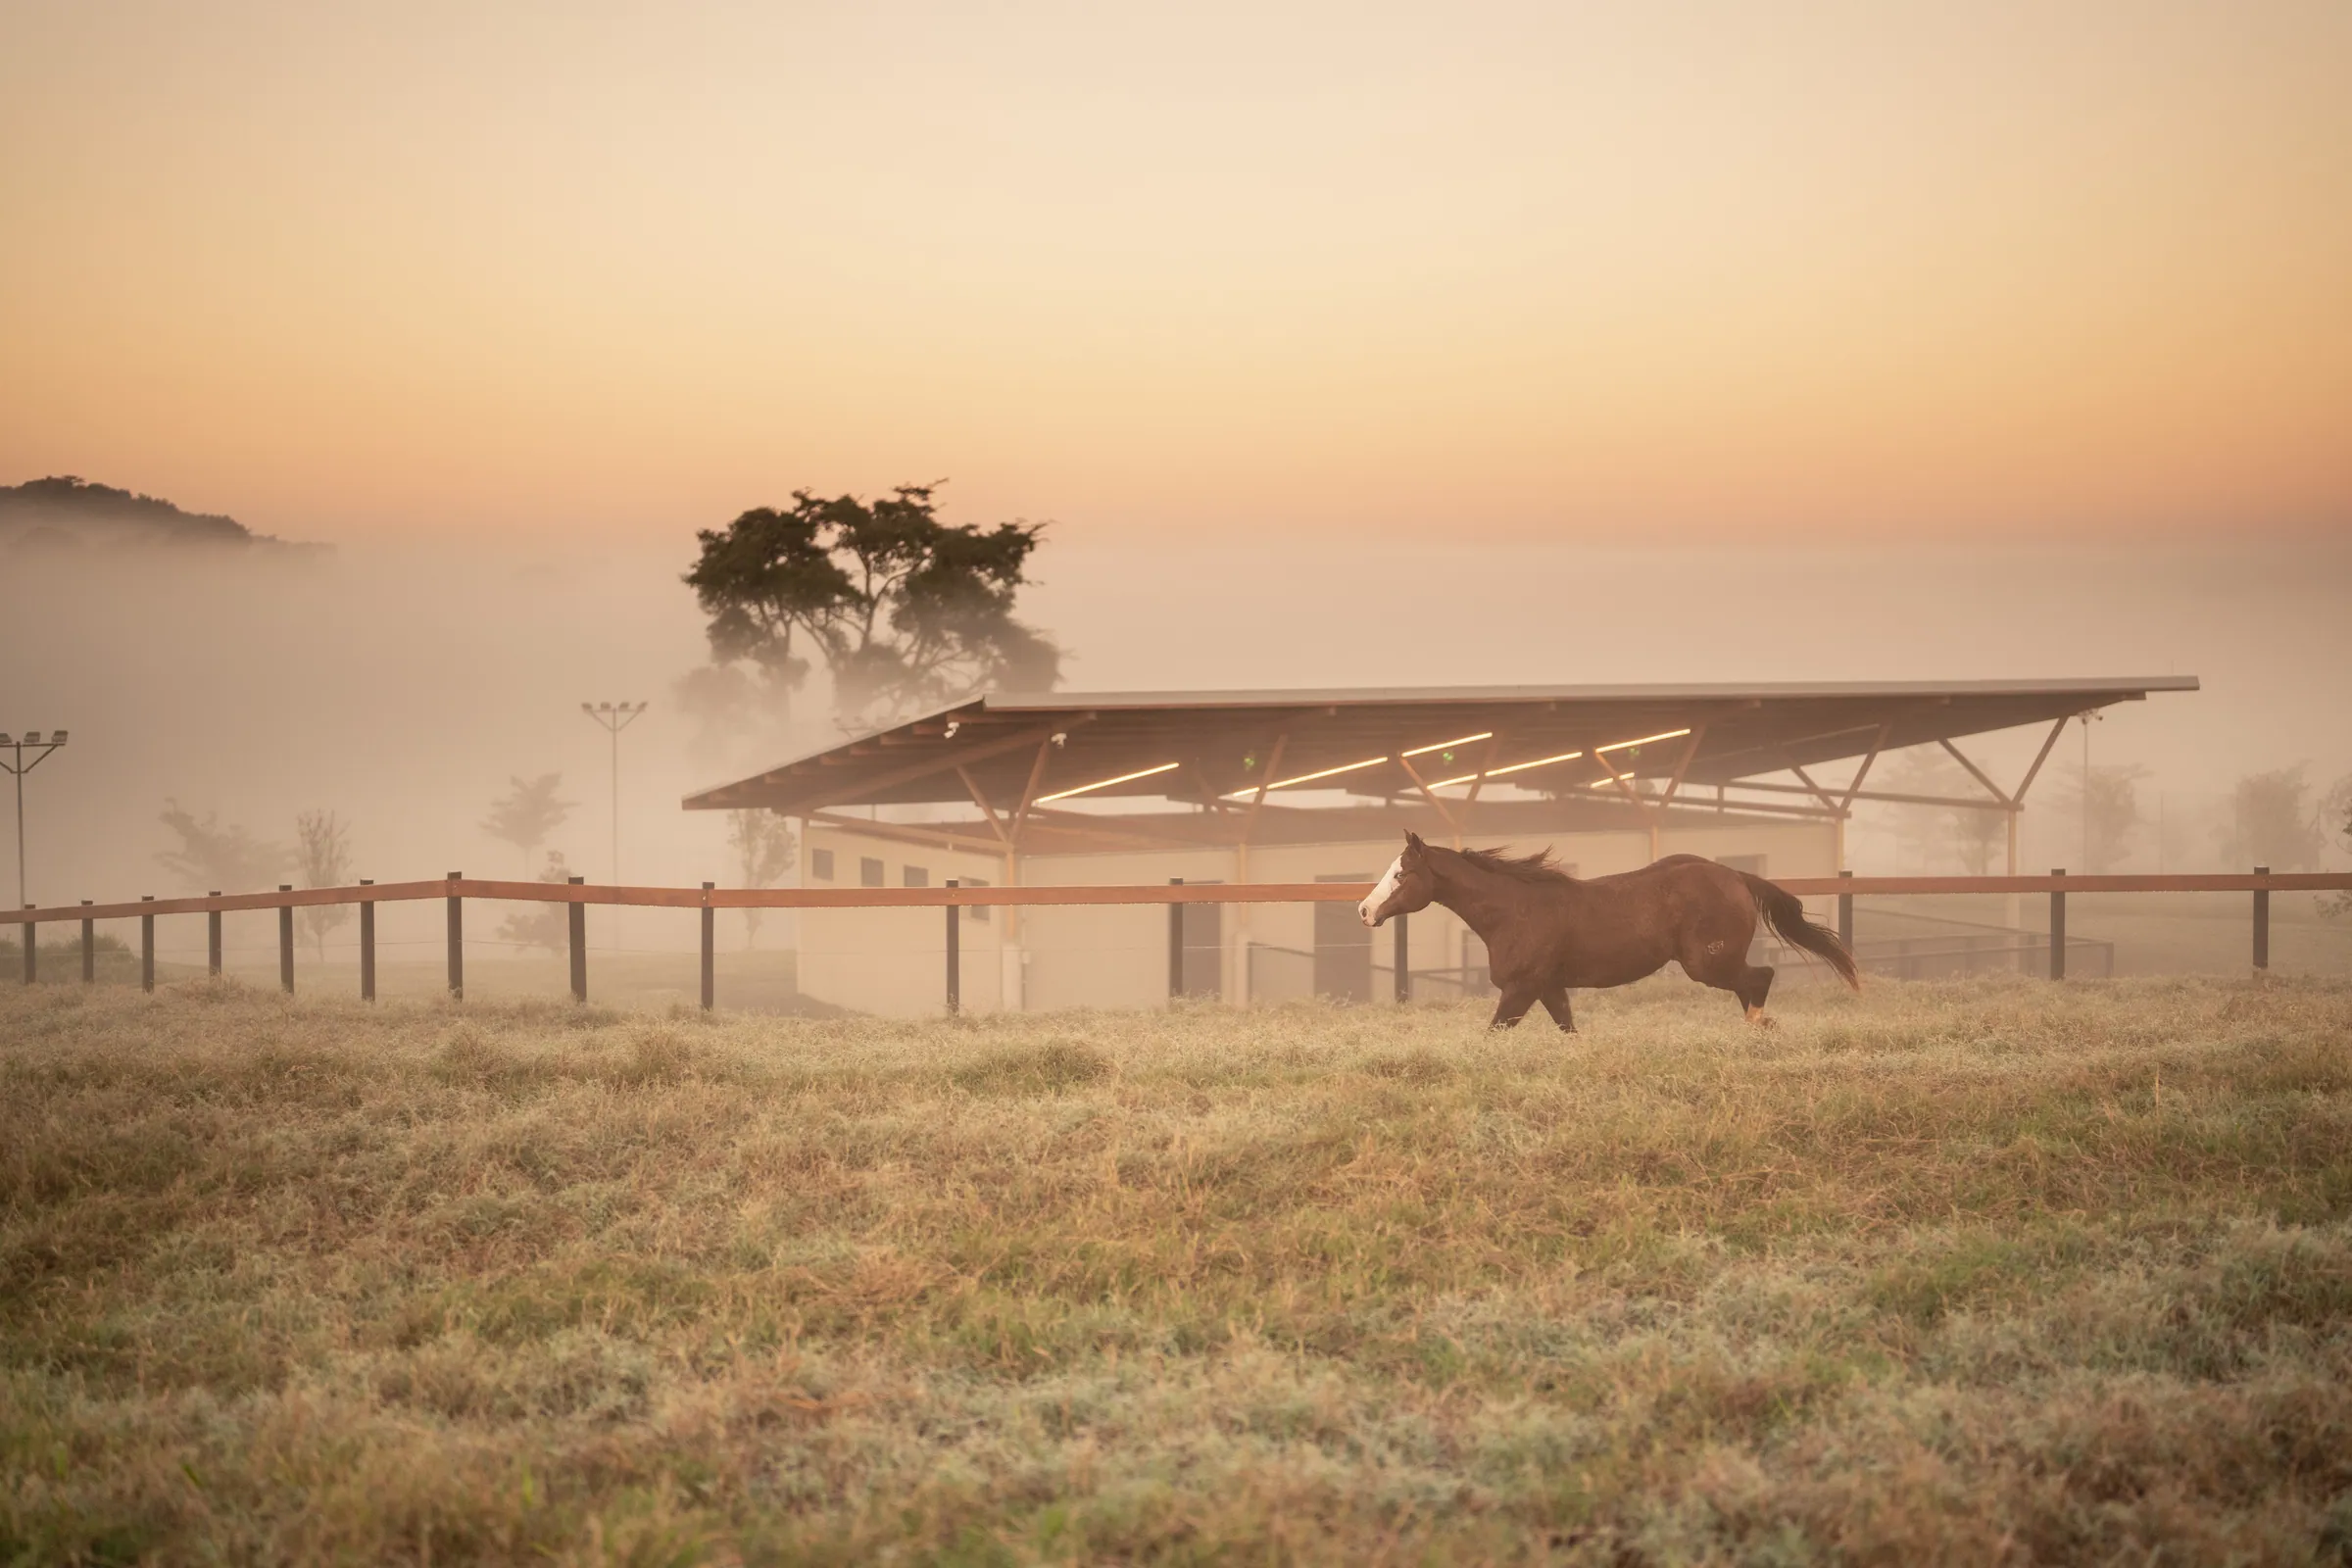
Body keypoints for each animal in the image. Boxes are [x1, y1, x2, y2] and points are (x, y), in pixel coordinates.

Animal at [1356, 831, 1860, 1030]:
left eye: (1400, 874)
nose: (1364, 910)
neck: (1512, 912)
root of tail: (1736, 876)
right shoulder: (1549, 988)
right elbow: (1569, 1030)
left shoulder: (1520, 989)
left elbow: (1493, 1033)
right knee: (1752, 985)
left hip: (1709, 963)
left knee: (1761, 978)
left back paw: (1760, 1024)